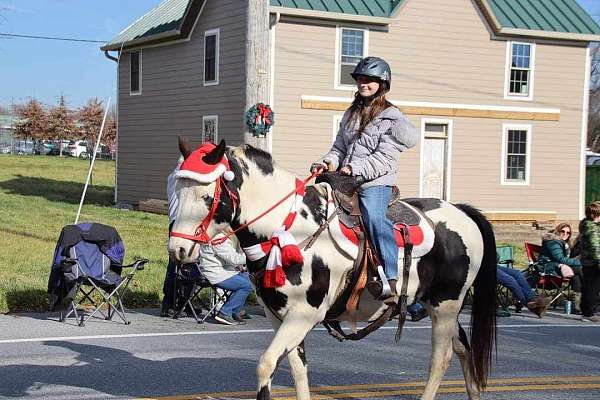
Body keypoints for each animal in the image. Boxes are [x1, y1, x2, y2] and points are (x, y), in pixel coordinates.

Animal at [169, 138, 496, 400]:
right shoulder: (280, 317)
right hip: (440, 306)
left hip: (445, 306)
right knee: (464, 350)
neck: (290, 229)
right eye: (177, 192)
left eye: (206, 197)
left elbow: (266, 365)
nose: (178, 250)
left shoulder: (304, 314)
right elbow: (297, 370)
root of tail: (462, 212)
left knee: (440, 360)